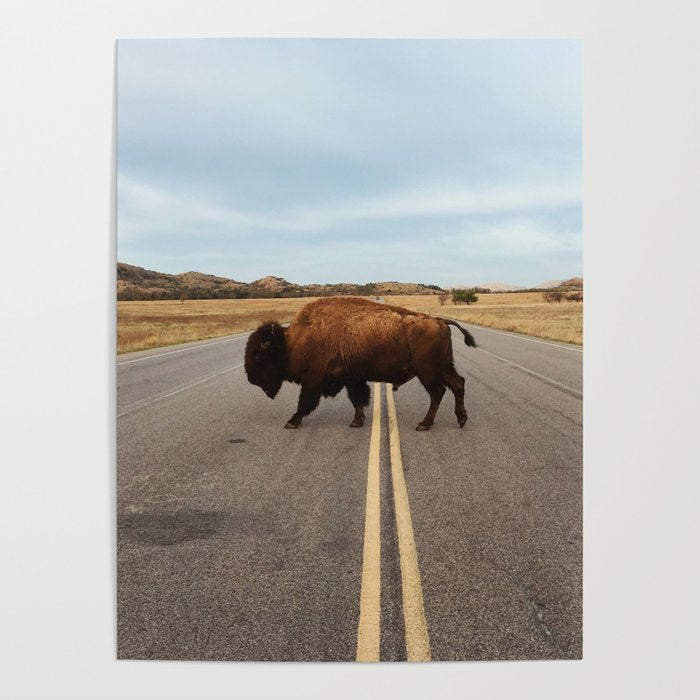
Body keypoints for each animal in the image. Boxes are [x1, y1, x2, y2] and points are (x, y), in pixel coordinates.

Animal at [244, 296, 476, 431]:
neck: (293, 341)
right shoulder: (351, 378)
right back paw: (461, 419)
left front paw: (291, 422)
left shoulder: (313, 381)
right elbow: (357, 399)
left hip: (428, 372)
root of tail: (440, 321)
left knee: (438, 392)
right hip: (443, 368)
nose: (251, 379)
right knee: (458, 384)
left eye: (257, 356)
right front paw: (357, 421)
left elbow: (304, 403)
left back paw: (424, 424)